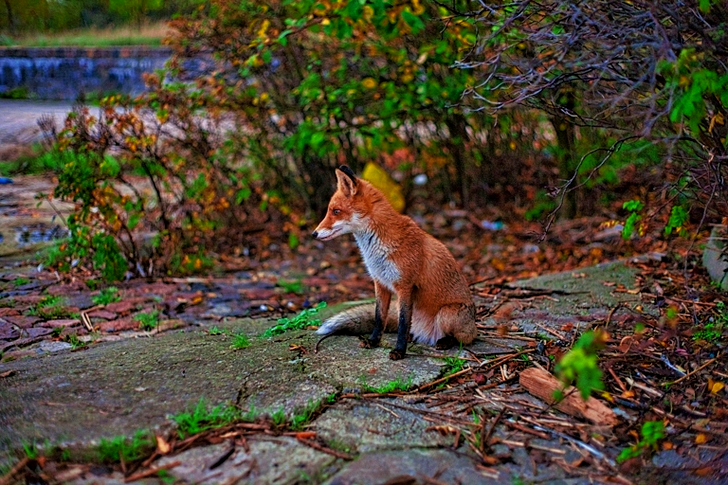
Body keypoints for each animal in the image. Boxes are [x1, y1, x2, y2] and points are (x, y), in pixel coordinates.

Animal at [312, 165, 477, 360]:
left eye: (336, 211)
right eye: (330, 210)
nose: (314, 234)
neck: (377, 248)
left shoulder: (405, 286)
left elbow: (403, 323)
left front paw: (399, 351)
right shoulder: (380, 283)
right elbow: (379, 317)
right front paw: (373, 341)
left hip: (447, 314)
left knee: (462, 339)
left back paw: (444, 341)